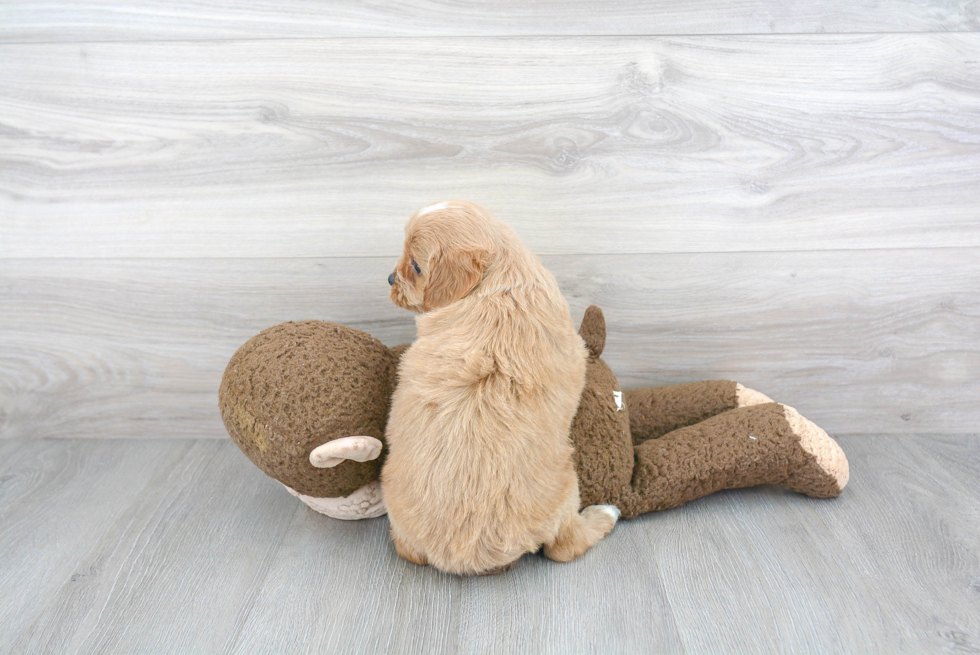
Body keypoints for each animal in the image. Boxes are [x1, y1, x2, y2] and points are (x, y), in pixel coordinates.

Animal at [384, 199, 620, 576]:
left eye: (417, 266)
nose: (391, 278)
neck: (500, 280)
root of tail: (463, 557)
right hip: (567, 486)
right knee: (564, 547)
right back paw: (606, 513)